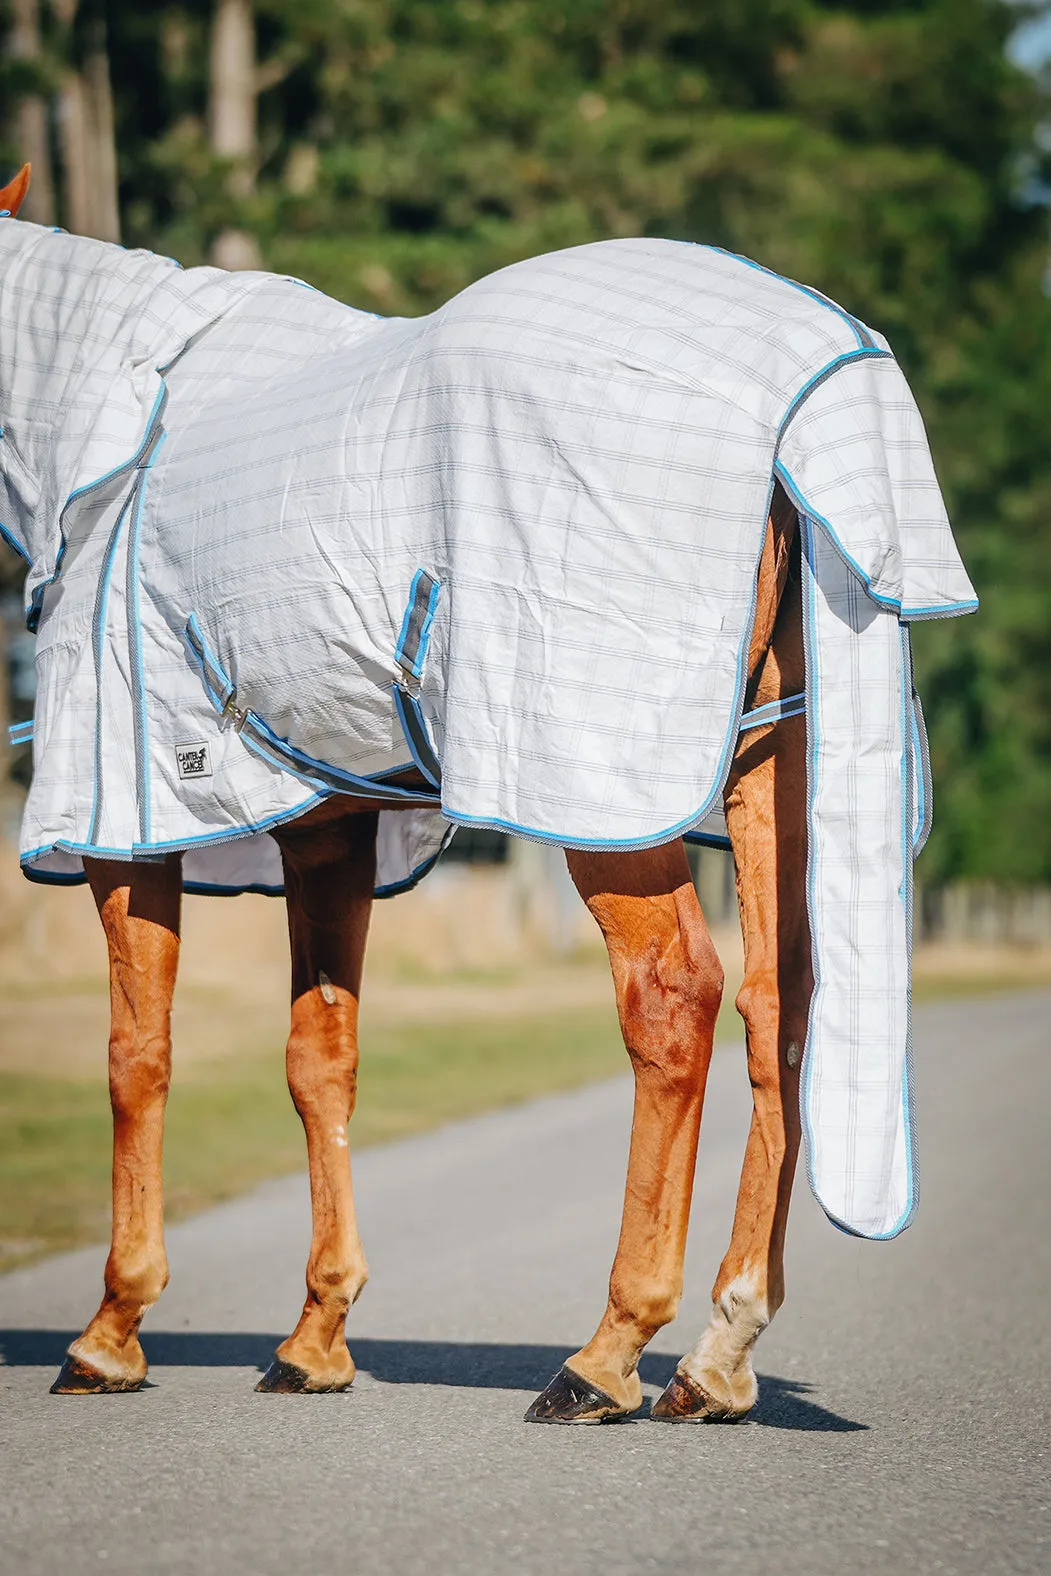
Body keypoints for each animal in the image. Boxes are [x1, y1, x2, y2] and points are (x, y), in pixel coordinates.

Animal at [0, 166, 976, 1424]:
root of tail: (804, 372)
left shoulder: (126, 822)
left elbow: (136, 1057)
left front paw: (111, 1330)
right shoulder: (327, 827)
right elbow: (319, 1057)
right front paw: (316, 1336)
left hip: (600, 785)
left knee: (674, 998)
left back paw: (606, 1352)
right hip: (776, 765)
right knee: (783, 1004)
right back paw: (717, 1349)